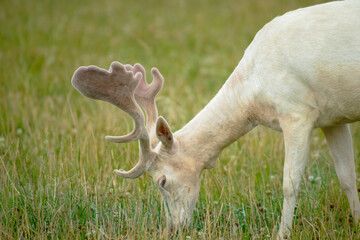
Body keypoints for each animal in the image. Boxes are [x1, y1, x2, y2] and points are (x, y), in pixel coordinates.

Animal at [71, 0, 360, 238]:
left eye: (162, 181)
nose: (173, 228)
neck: (255, 96)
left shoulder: (297, 111)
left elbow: (290, 183)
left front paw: (282, 234)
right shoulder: (333, 118)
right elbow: (347, 176)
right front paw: (357, 224)